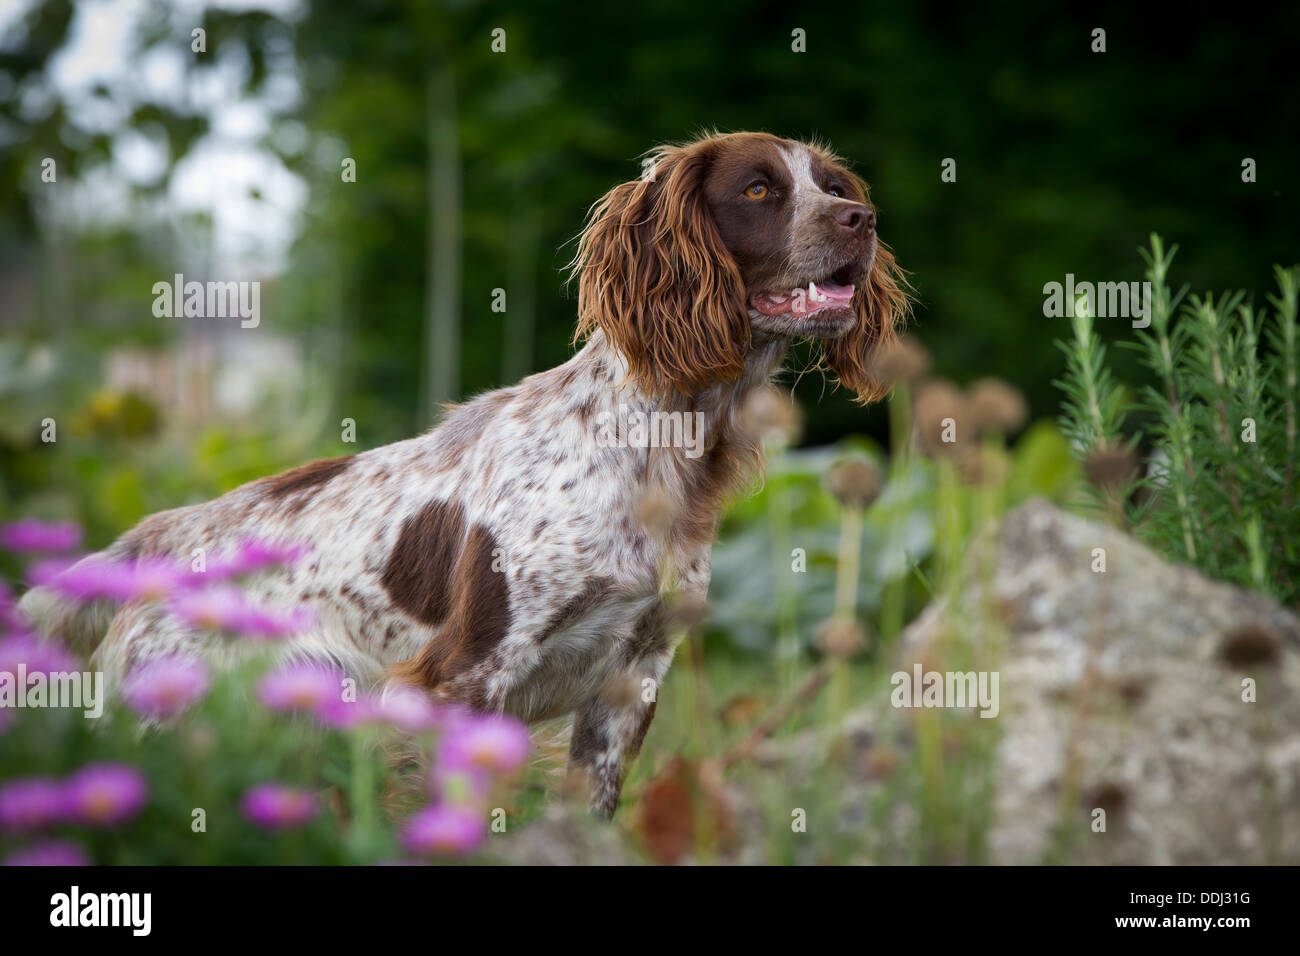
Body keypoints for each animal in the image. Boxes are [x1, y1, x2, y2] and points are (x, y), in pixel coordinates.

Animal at [25, 130, 909, 816]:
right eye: (759, 189)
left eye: (833, 187)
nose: (862, 219)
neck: (658, 445)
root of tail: (156, 539)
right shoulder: (463, 678)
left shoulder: (632, 681)